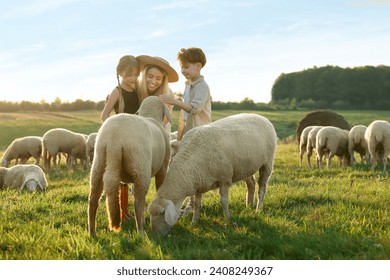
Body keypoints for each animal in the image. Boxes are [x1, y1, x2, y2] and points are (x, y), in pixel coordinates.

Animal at [88, 95, 171, 235]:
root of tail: (114, 138)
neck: (152, 116)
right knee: (138, 201)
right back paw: (141, 231)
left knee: (93, 200)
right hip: (141, 168)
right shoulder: (163, 167)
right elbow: (159, 187)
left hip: (98, 163)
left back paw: (92, 232)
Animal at [147, 112, 278, 235]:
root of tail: (261, 117)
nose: (156, 235)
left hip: (267, 163)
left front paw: (228, 218)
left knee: (262, 187)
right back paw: (249, 206)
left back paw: (258, 209)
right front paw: (194, 221)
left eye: (162, 213)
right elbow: (197, 204)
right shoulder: (199, 183)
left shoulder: (225, 179)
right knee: (251, 184)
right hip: (246, 167)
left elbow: (224, 201)